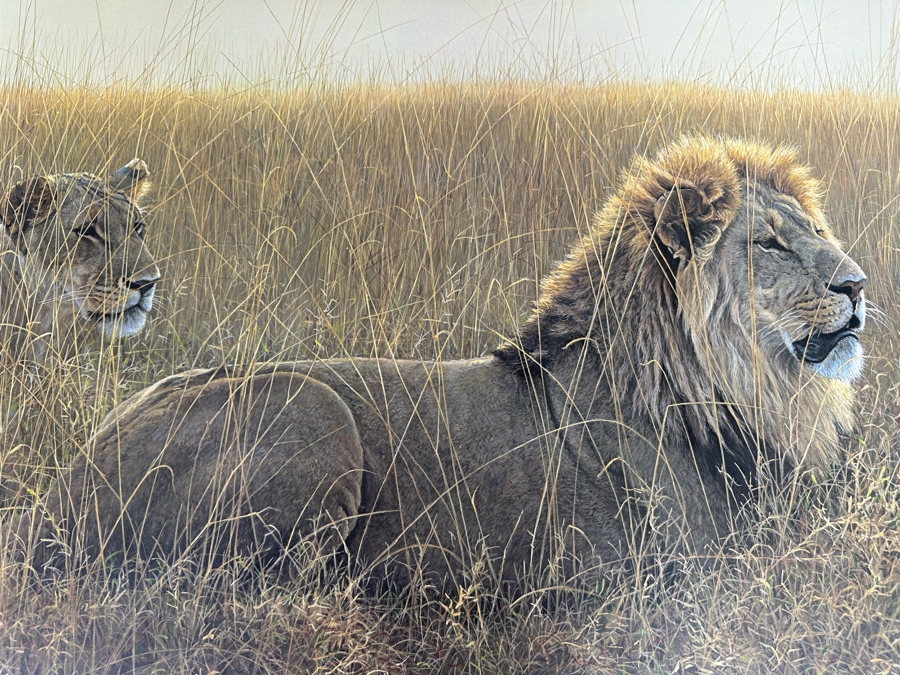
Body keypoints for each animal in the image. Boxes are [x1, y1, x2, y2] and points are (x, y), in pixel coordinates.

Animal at [24, 137, 866, 590]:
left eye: (816, 229)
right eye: (772, 243)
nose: (858, 285)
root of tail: (56, 494)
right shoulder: (688, 575)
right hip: (315, 415)